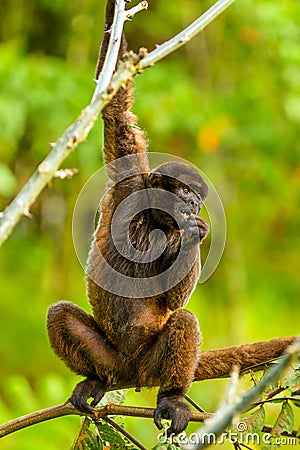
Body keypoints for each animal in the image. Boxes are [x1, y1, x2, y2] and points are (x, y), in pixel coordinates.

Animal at [47, 0, 209, 436]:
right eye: (185, 192)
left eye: (197, 200)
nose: (193, 206)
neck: (152, 219)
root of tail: (131, 372)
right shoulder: (129, 182)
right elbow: (116, 112)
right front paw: (113, 15)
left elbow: (173, 300)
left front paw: (194, 236)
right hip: (109, 355)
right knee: (60, 315)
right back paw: (96, 380)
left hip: (151, 362)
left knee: (183, 321)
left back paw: (172, 398)